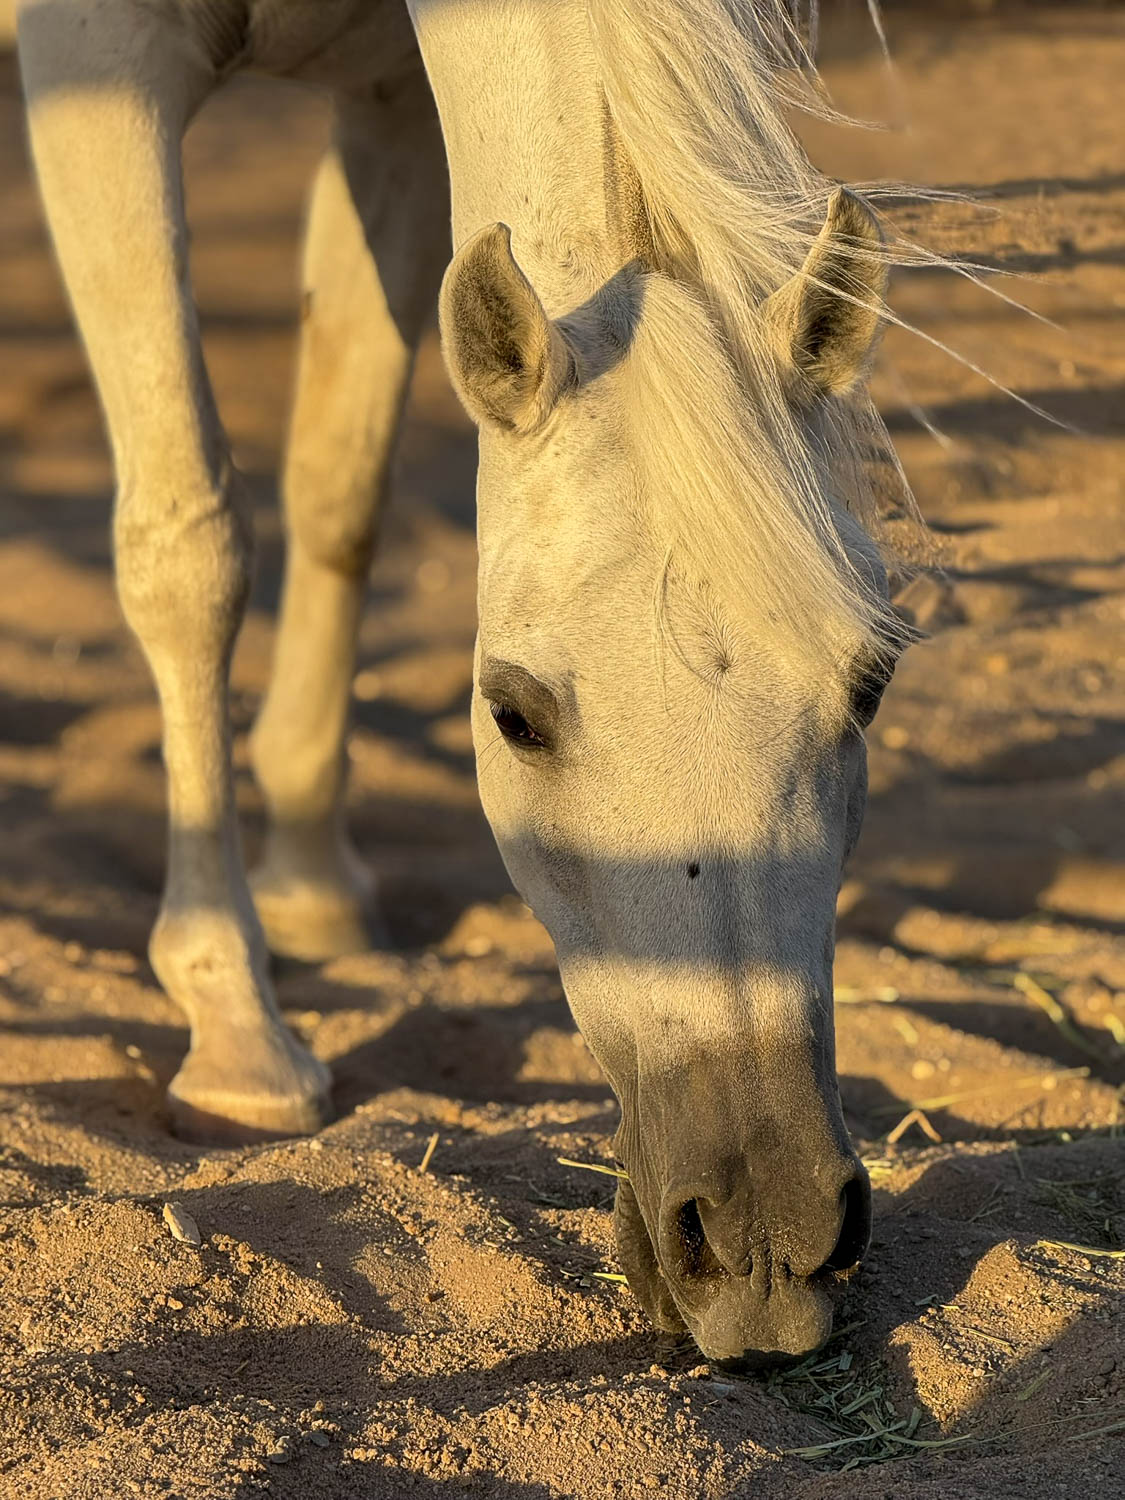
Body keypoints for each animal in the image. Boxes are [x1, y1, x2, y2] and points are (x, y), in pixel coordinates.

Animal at [15, 0, 908, 1363]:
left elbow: (341, 484)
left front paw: (315, 886)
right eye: (514, 716)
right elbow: (190, 542)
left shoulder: (385, 96)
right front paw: (237, 1032)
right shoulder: (95, 64)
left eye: (865, 688)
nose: (767, 1240)